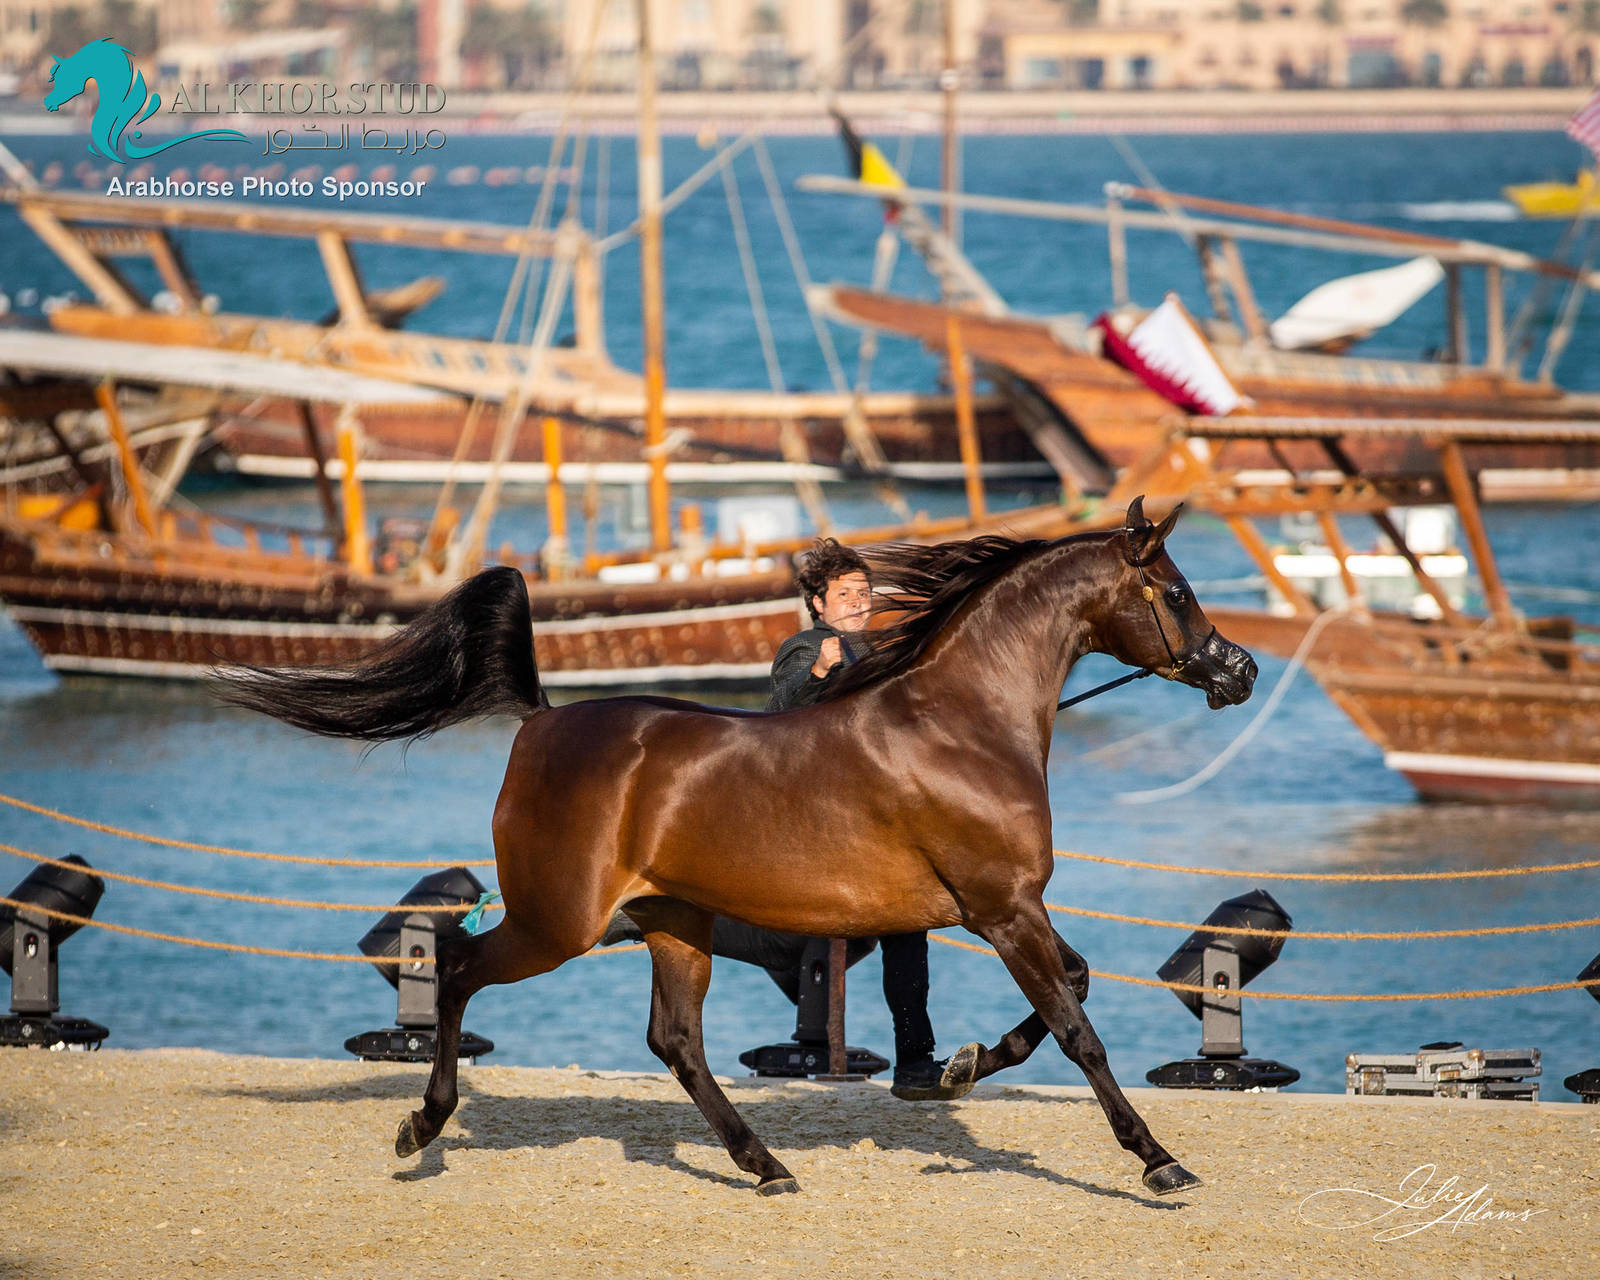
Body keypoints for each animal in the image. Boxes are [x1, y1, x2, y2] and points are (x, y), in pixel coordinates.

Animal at [217, 497, 1257, 1198]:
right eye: (1175, 589)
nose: (1238, 671)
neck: (963, 722)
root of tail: (542, 722)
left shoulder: (1004, 910)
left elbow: (1068, 994)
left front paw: (963, 1066)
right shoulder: (1003, 910)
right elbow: (1079, 1028)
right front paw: (1159, 1161)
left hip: (672, 923)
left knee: (674, 1040)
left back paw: (766, 1166)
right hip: (559, 923)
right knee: (463, 969)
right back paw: (422, 1127)